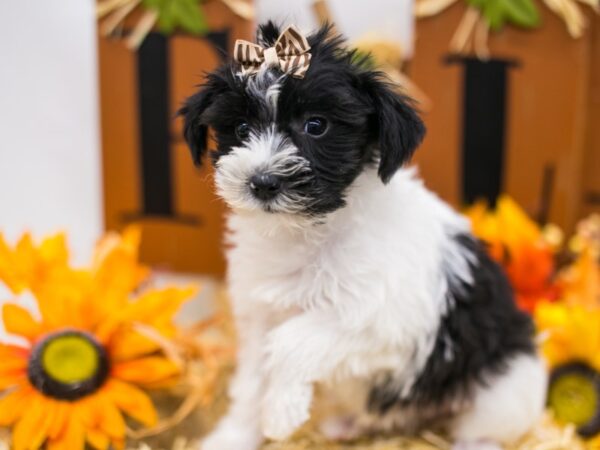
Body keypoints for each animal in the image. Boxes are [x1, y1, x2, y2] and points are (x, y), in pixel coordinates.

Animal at [179, 22, 548, 450]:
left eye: (316, 125)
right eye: (240, 128)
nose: (262, 182)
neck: (306, 230)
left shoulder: (382, 318)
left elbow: (290, 341)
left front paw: (281, 412)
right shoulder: (258, 312)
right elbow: (253, 378)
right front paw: (235, 434)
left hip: (507, 386)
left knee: (483, 425)